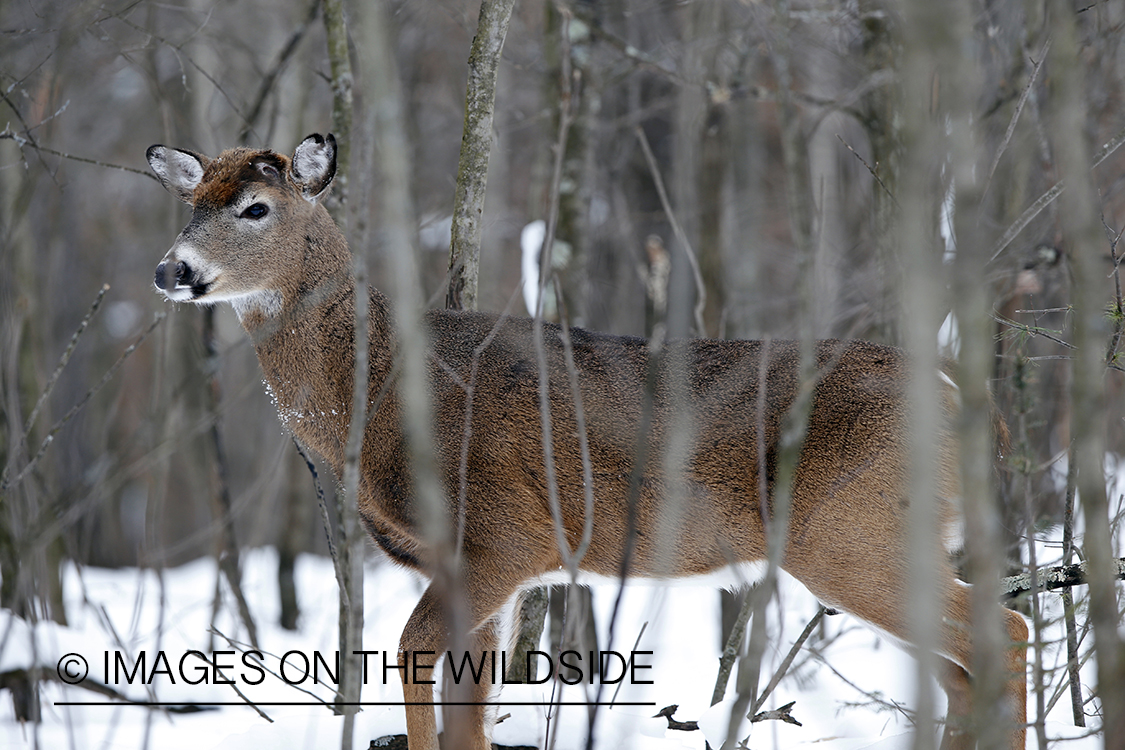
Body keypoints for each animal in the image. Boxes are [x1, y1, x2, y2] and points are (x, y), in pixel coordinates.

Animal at [147, 134, 1030, 750]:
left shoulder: (506, 535)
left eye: (254, 208)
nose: (172, 270)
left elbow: (411, 653)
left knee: (1004, 635)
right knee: (966, 667)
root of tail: (971, 405)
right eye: (191, 206)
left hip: (853, 530)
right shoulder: (480, 566)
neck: (381, 387)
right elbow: (470, 710)